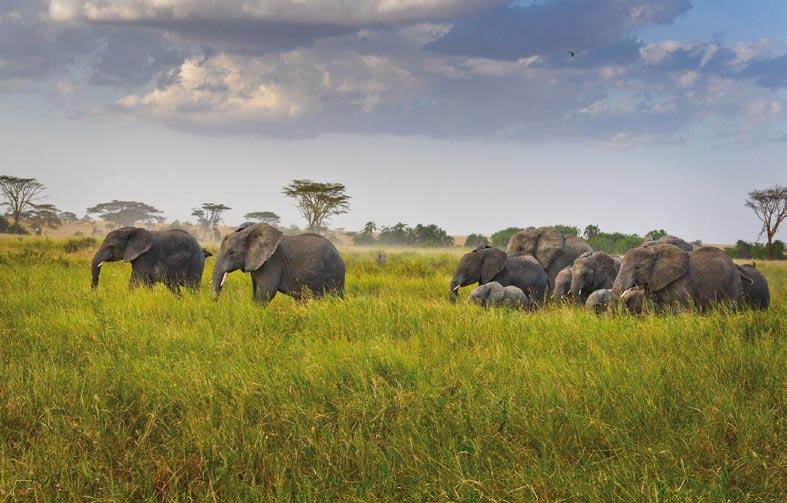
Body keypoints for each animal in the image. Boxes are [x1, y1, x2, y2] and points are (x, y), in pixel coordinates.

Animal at [212, 223, 344, 304]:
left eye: (231, 252)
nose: (215, 304)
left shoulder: (272, 262)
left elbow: (265, 294)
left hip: (334, 274)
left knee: (335, 298)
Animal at [612, 243, 748, 312]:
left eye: (637, 267)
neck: (655, 251)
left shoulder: (683, 282)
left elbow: (682, 310)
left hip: (732, 281)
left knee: (727, 306)